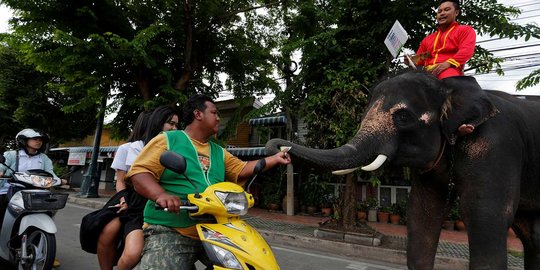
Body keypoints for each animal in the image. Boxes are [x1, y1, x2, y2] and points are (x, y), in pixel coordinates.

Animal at [268, 70, 540, 270]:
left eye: (403, 118)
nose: (280, 146)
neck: (448, 89)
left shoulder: (496, 149)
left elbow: (485, 215)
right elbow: (422, 213)